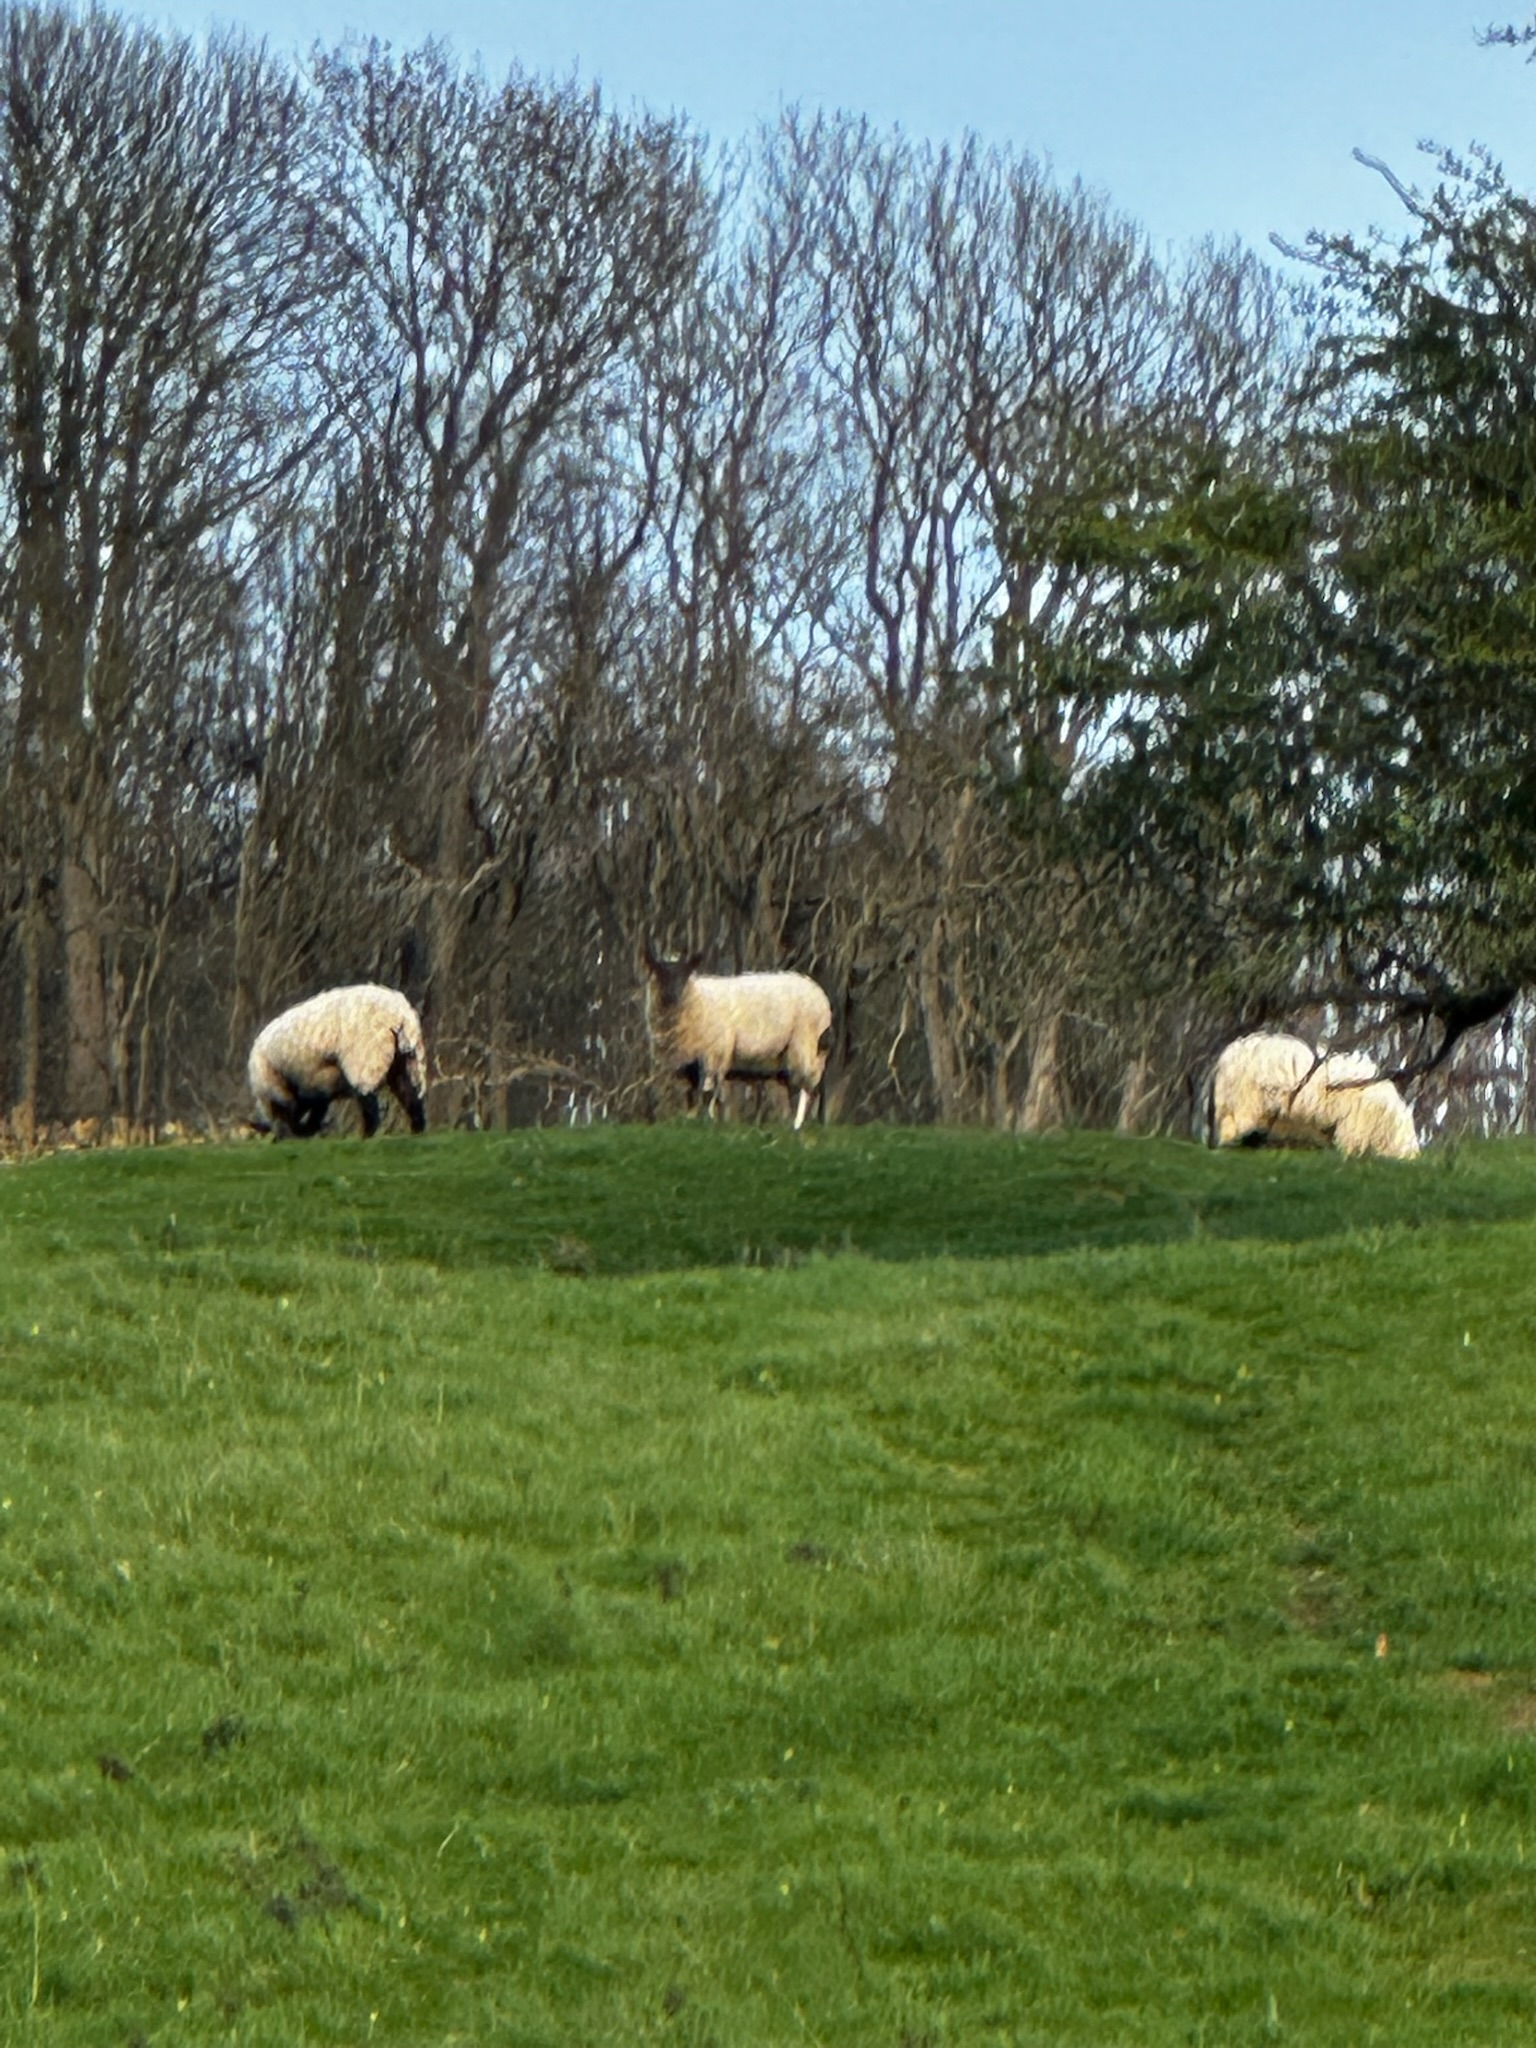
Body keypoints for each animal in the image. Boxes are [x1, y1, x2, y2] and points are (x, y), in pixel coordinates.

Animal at [248, 984, 427, 1139]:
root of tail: (400, 1013)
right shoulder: (318, 1086)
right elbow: (315, 1112)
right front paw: (305, 1130)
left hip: (365, 1058)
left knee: (369, 1102)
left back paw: (365, 1136)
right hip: (405, 1059)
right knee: (410, 1095)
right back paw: (417, 1131)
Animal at [643, 947, 833, 1131]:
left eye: (685, 973)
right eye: (659, 972)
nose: (672, 995)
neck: (697, 997)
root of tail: (821, 996)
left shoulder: (715, 1054)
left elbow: (709, 1092)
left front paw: (707, 1121)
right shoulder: (690, 1063)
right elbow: (691, 1094)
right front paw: (692, 1120)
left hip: (803, 1043)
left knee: (807, 1085)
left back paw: (797, 1125)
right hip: (789, 1055)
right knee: (799, 1086)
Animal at [1208, 1032, 1419, 1160]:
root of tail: (1232, 1052)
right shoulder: (1353, 1124)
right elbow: (1349, 1144)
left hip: (1236, 1102)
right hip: (1247, 1100)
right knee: (1239, 1124)